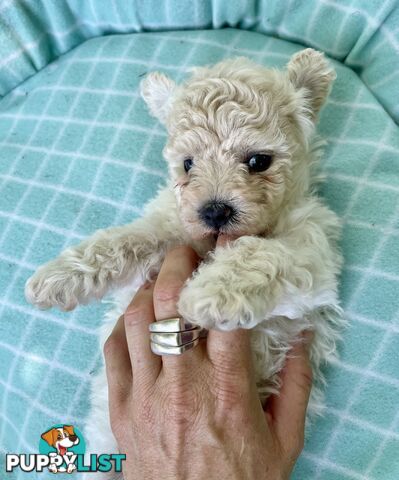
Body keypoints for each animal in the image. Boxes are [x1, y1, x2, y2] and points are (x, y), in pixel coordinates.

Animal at [25, 48, 344, 476]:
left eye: (259, 161)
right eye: (188, 164)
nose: (213, 210)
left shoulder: (311, 250)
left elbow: (264, 253)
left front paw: (208, 294)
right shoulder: (170, 228)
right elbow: (126, 240)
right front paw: (56, 278)